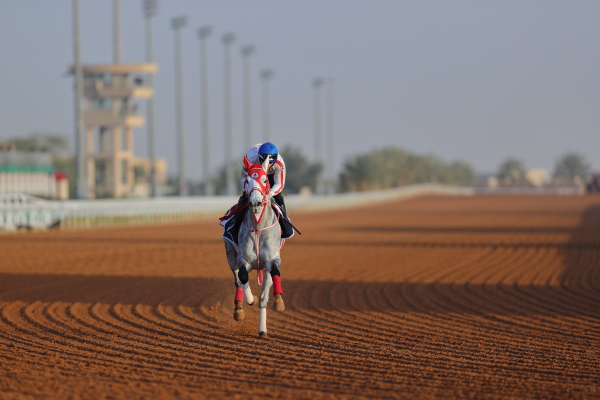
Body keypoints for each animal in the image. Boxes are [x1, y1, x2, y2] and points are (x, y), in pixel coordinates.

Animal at [224, 156, 284, 338]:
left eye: (265, 180)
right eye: (247, 181)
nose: (256, 203)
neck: (258, 227)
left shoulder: (272, 259)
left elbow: (274, 276)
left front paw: (278, 302)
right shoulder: (242, 258)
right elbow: (243, 277)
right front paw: (250, 299)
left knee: (265, 293)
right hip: (230, 256)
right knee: (237, 280)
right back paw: (239, 308)